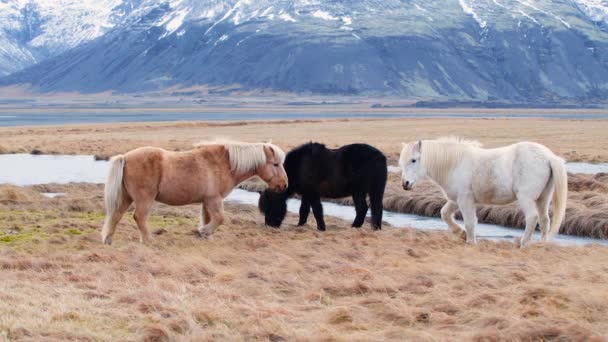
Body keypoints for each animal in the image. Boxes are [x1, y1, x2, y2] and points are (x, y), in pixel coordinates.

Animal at [101, 140, 288, 244]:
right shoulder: (214, 200)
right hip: (144, 199)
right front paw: (203, 232)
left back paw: (108, 239)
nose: (284, 185)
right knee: (139, 217)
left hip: (126, 198)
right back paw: (148, 240)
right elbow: (219, 219)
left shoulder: (207, 201)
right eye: (275, 164)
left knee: (116, 215)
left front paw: (205, 236)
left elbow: (209, 218)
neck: (223, 163)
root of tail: (125, 157)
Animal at [258, 142, 388, 230]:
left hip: (358, 191)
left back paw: (354, 226)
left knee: (362, 208)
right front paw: (300, 225)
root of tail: (381, 157)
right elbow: (303, 210)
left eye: (271, 205)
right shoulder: (306, 194)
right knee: (377, 207)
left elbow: (317, 210)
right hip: (376, 190)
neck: (299, 166)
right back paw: (376, 228)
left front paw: (321, 228)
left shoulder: (312, 193)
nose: (270, 225)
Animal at [402, 138, 568, 247]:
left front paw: (471, 241)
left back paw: (523, 243)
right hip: (543, 198)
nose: (405, 184)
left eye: (413, 160)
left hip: (526, 198)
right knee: (545, 219)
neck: (455, 164)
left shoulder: (465, 199)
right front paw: (460, 233)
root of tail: (548, 156)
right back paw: (542, 244)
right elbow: (445, 214)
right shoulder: (456, 200)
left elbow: (470, 222)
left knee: (532, 217)